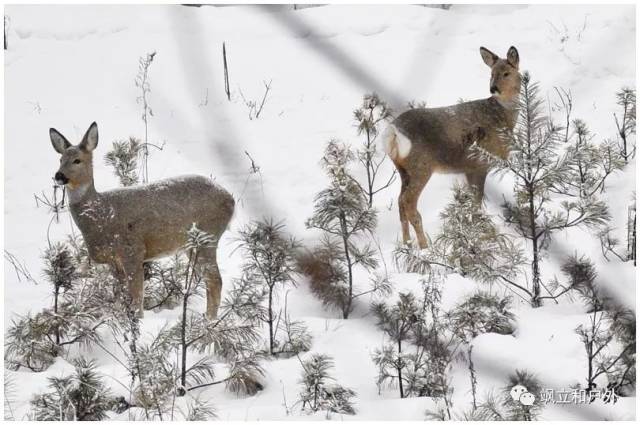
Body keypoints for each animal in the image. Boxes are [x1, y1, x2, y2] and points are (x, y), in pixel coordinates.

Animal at [49, 121, 235, 316]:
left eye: (77, 160)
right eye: (60, 160)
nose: (59, 175)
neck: (101, 217)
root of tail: (230, 199)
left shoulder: (132, 250)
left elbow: (137, 300)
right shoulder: (114, 261)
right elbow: (121, 298)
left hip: (207, 235)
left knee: (215, 280)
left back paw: (209, 320)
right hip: (192, 245)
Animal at [380, 45, 520, 248]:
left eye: (506, 73)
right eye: (492, 73)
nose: (493, 88)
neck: (502, 118)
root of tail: (393, 132)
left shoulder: (469, 168)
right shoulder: (480, 164)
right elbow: (477, 203)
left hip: (403, 170)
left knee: (400, 202)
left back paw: (407, 244)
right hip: (421, 167)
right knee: (408, 203)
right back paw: (424, 246)